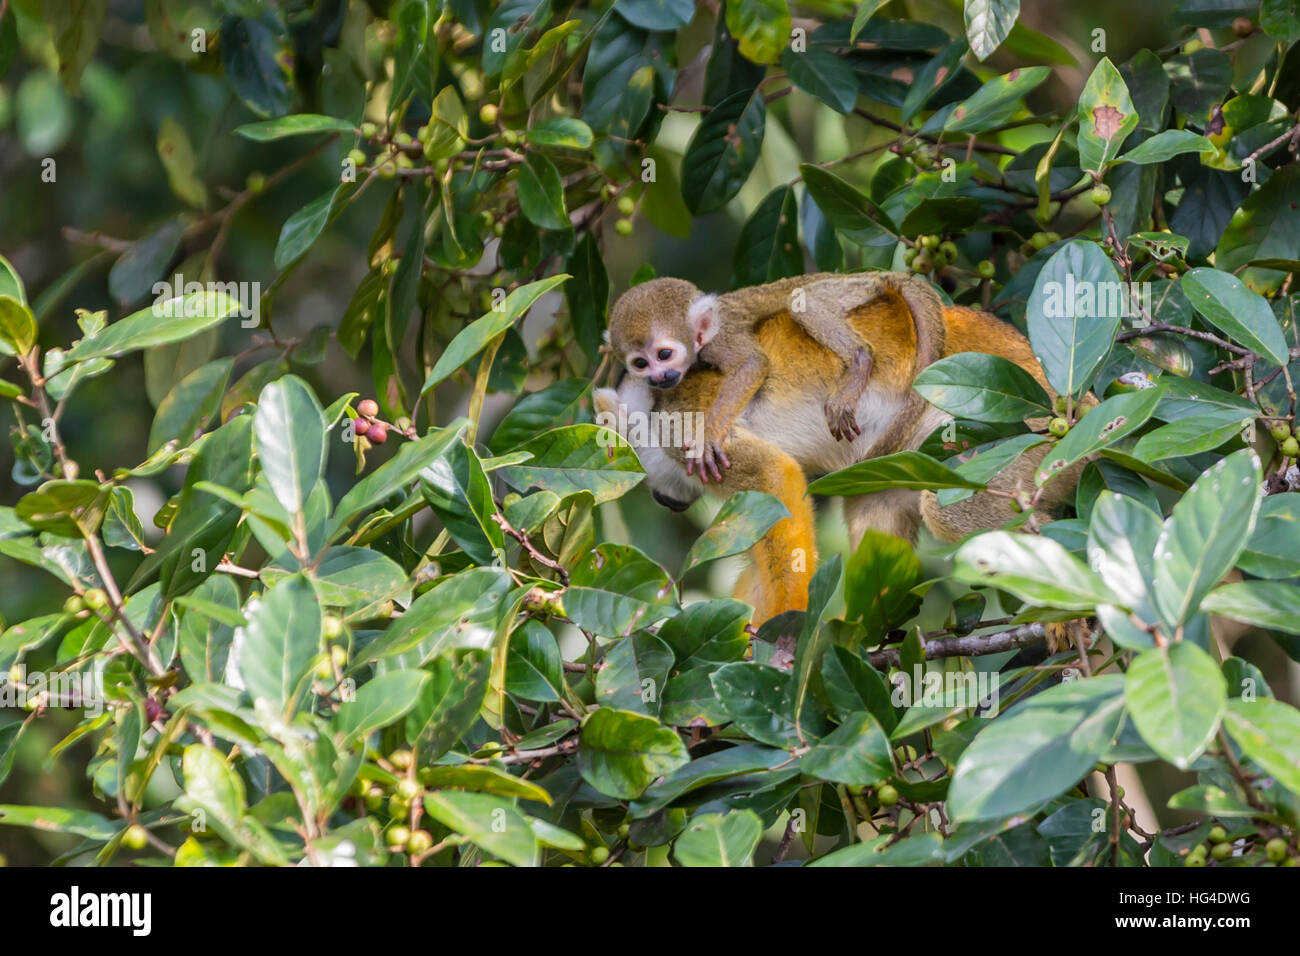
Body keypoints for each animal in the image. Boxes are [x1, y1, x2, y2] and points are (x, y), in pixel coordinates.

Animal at [608, 274, 946, 486]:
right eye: (641, 363)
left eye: (664, 354)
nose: (658, 376)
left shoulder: (719, 339)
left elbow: (752, 363)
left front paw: (709, 436)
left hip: (848, 290)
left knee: (803, 299)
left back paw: (860, 359)